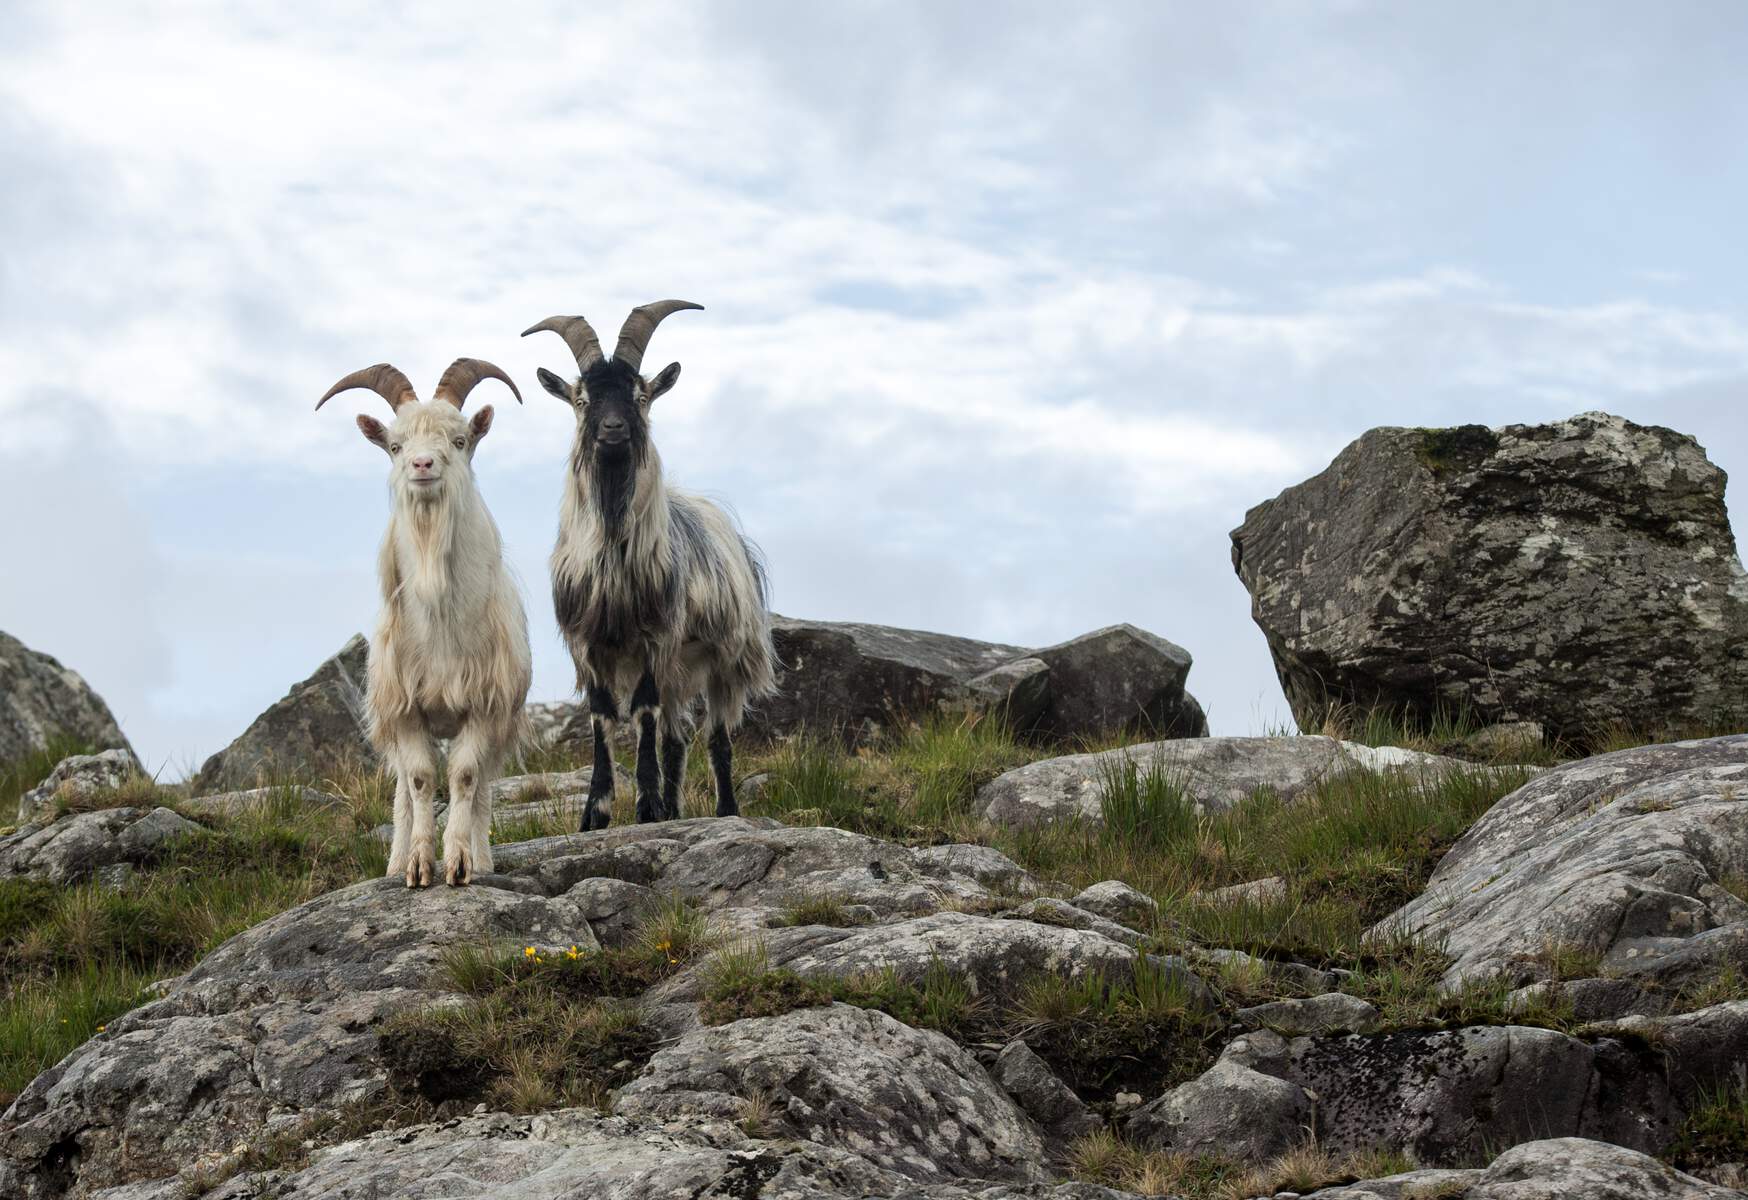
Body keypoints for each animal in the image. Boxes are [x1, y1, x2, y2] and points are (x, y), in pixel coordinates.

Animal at [314, 362, 531, 888]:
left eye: (459, 439)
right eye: (394, 445)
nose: (422, 465)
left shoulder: (484, 705)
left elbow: (465, 777)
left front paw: (459, 863)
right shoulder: (405, 709)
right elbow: (418, 780)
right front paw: (415, 866)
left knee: (483, 786)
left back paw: (483, 858)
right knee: (401, 792)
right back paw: (393, 861)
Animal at [520, 300, 776, 832]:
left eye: (640, 396)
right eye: (581, 399)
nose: (613, 429)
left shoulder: (656, 638)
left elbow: (642, 712)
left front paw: (645, 807)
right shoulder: (587, 643)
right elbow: (602, 716)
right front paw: (596, 813)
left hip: (724, 658)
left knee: (715, 736)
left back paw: (724, 810)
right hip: (682, 668)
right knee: (677, 738)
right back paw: (674, 811)